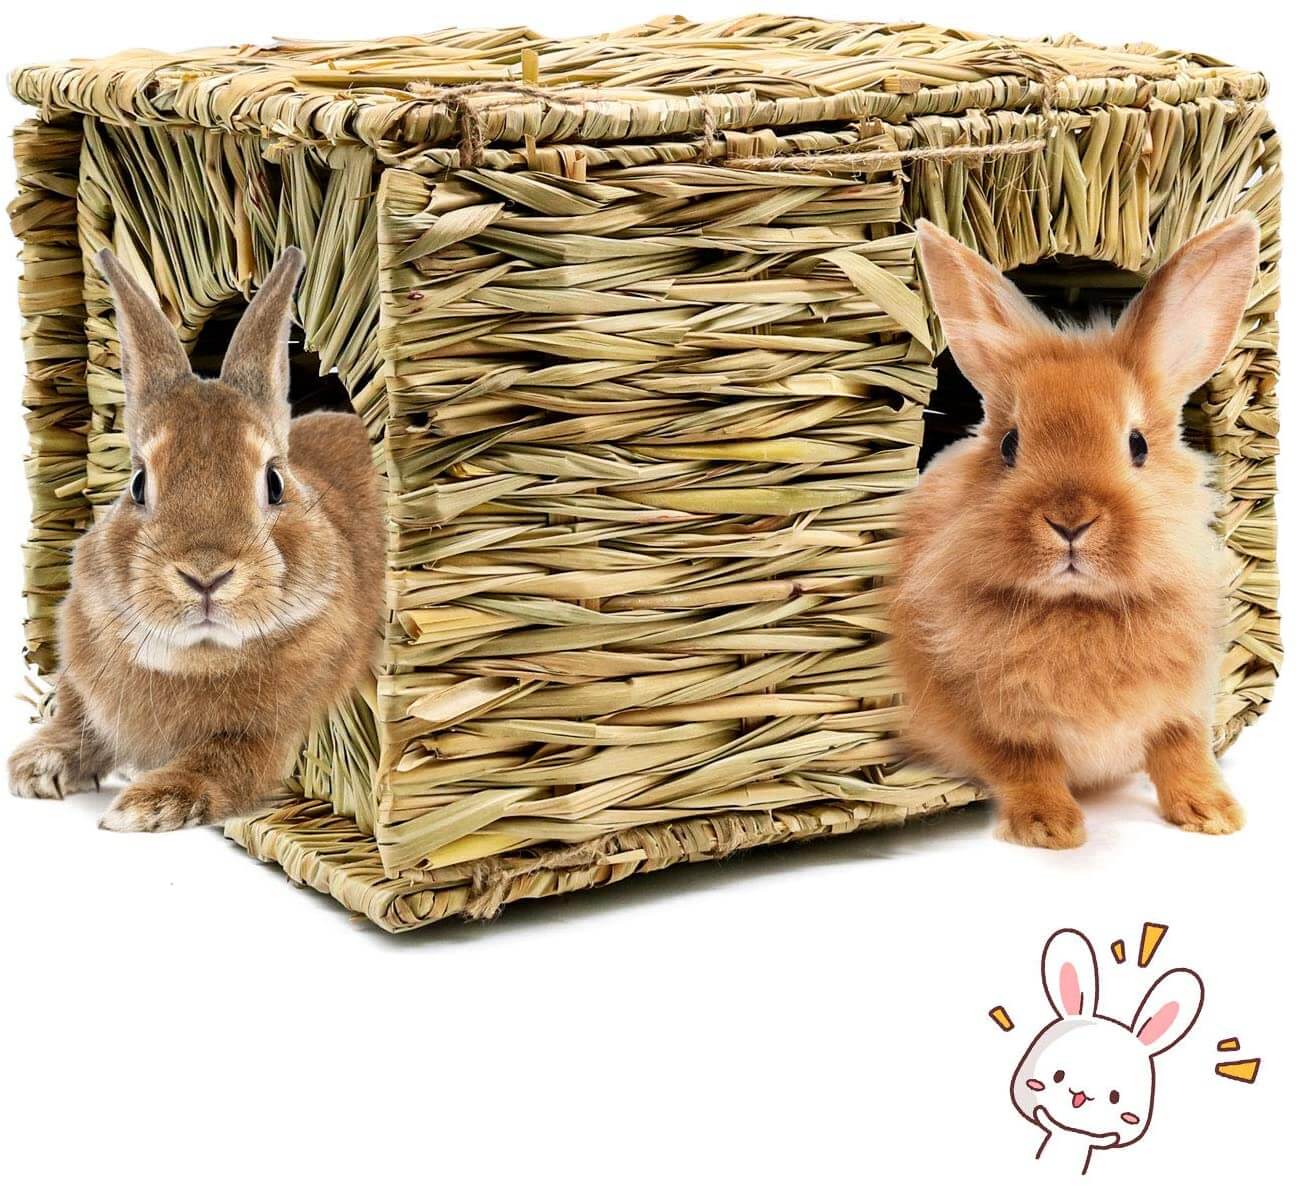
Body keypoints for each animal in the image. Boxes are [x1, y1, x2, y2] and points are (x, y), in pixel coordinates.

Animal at [7, 247, 384, 831]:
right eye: (138, 484)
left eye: (274, 482)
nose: (206, 575)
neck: (197, 657)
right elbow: (78, 721)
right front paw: (36, 766)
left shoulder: (267, 736)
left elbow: (221, 762)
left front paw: (145, 807)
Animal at [892, 215, 1261, 848]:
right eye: (1009, 445)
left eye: (1138, 445)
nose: (1070, 521)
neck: (1080, 607)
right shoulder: (987, 720)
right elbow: (1025, 762)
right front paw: (1050, 828)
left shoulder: (1183, 704)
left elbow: (1182, 751)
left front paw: (1214, 814)